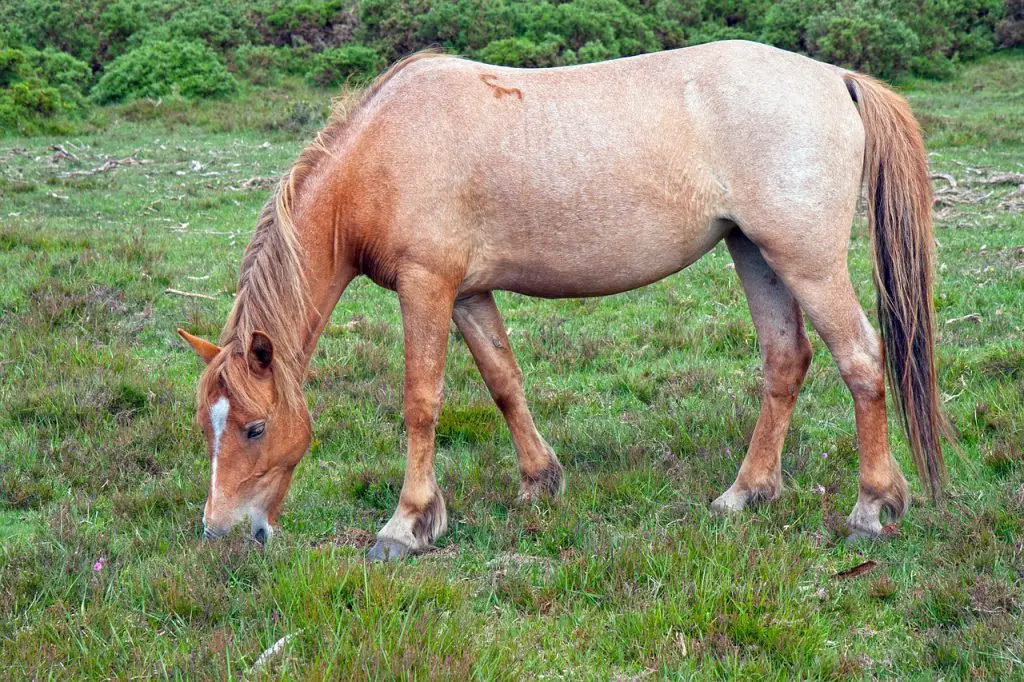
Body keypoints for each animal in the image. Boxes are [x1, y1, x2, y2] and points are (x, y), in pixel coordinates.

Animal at [176, 39, 950, 557]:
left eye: (253, 428)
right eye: (205, 425)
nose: (221, 531)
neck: (388, 150)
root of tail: (836, 79)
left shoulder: (427, 287)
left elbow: (421, 401)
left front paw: (408, 523)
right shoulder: (468, 293)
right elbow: (503, 381)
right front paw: (538, 480)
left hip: (805, 261)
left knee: (861, 359)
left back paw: (872, 507)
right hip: (755, 253)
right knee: (786, 361)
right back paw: (746, 493)